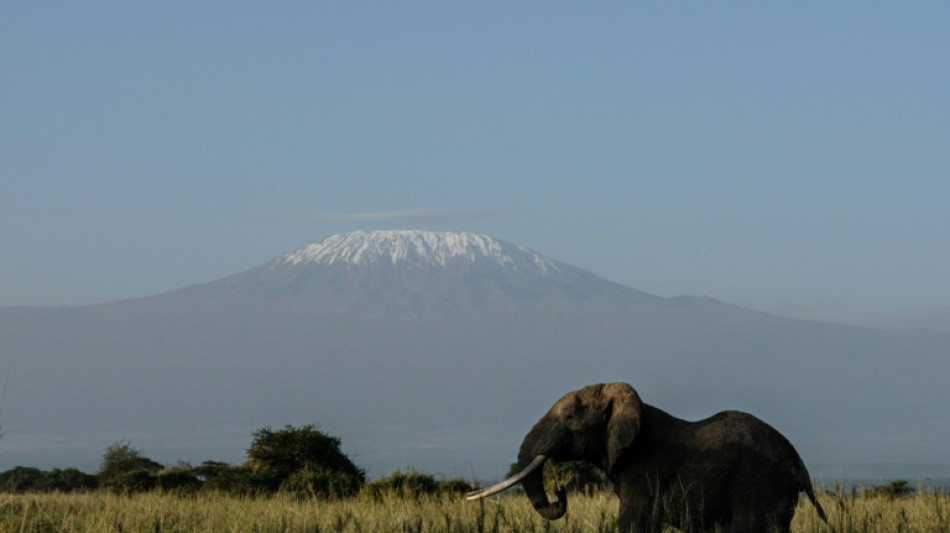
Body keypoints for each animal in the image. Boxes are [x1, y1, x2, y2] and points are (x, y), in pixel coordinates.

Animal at [468, 382, 824, 532]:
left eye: (569, 418)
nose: (560, 492)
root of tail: (799, 463)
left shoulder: (646, 469)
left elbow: (632, 523)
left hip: (760, 486)